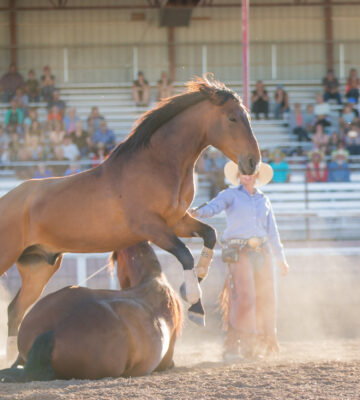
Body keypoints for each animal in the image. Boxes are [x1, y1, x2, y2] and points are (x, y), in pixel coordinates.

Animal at [0, 75, 258, 356]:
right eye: (232, 118)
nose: (253, 161)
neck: (156, 164)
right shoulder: (152, 227)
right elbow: (184, 254)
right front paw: (195, 304)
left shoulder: (177, 221)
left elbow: (210, 235)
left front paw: (198, 280)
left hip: (40, 266)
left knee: (15, 312)